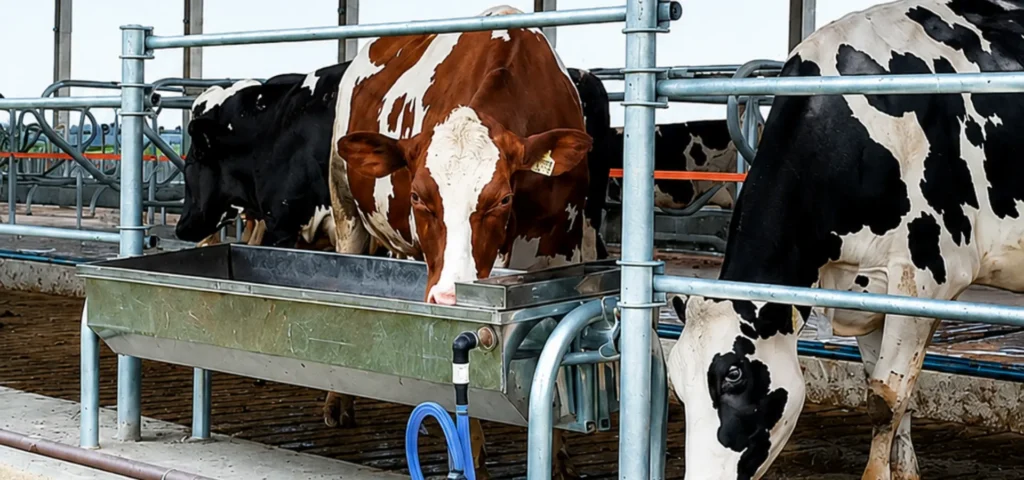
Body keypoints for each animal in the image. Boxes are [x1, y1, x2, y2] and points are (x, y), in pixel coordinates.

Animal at [326, 5, 597, 477]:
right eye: (419, 196)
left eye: (502, 198)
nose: (449, 297)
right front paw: (473, 455)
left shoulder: (564, 242)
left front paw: (559, 454)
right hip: (343, 204)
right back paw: (339, 401)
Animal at [666, 1, 1024, 479]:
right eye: (676, 380)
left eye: (735, 374)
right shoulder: (866, 289)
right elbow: (893, 394)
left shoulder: (924, 278)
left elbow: (885, 400)